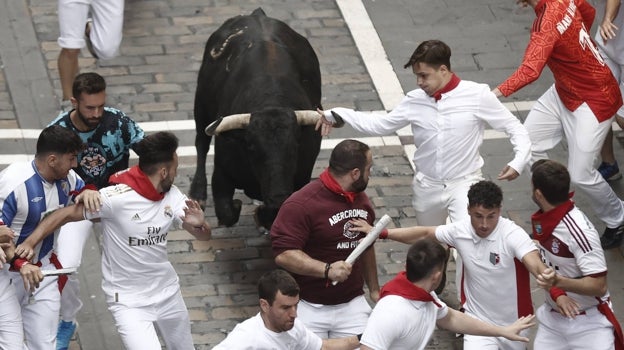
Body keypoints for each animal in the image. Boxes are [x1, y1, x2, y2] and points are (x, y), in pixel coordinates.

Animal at [189, 8, 326, 230]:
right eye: (251, 146)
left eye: (295, 145)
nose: (278, 197)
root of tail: (257, 14)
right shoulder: (221, 174)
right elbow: (226, 212)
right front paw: (239, 206)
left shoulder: (302, 178)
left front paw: (262, 214)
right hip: (201, 104)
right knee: (201, 143)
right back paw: (197, 193)